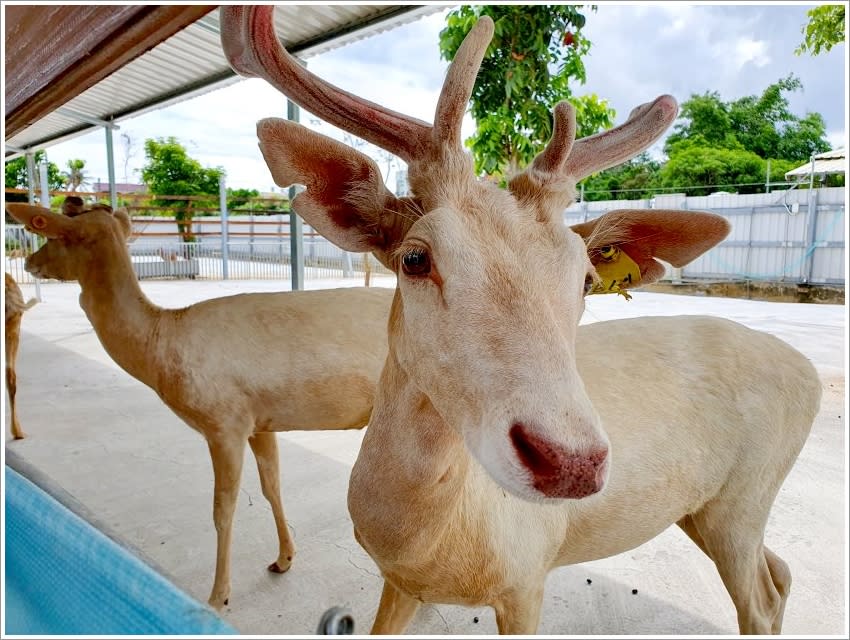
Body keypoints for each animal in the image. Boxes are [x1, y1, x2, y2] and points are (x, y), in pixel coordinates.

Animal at [5, 201, 394, 608]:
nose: (30, 261)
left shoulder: (224, 422)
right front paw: (283, 559)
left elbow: (222, 509)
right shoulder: (260, 421)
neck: (159, 348)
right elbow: (271, 486)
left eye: (59, 234)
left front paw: (217, 596)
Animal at [220, 6, 820, 636]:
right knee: (780, 573)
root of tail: (808, 370)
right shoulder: (398, 582)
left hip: (746, 496)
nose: (572, 465)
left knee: (760, 597)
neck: (424, 543)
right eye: (415, 258)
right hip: (705, 508)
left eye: (585, 278)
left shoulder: (528, 576)